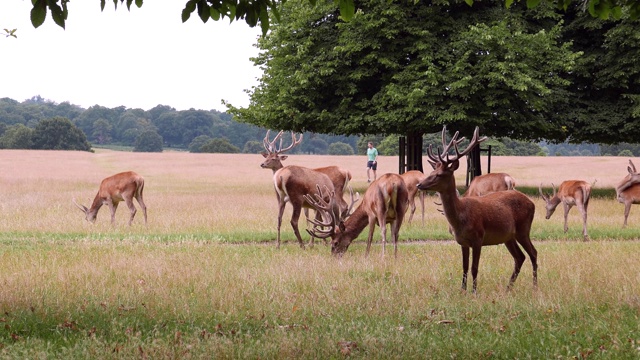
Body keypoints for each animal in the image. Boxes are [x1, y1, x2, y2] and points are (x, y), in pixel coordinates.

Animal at [418, 126, 536, 292]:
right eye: (431, 172)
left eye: (439, 174)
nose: (419, 185)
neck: (461, 218)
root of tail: (532, 203)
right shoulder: (463, 242)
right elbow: (464, 267)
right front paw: (462, 291)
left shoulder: (478, 238)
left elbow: (474, 268)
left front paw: (474, 292)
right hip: (509, 236)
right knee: (520, 257)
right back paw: (508, 289)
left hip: (523, 228)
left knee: (533, 253)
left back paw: (535, 286)